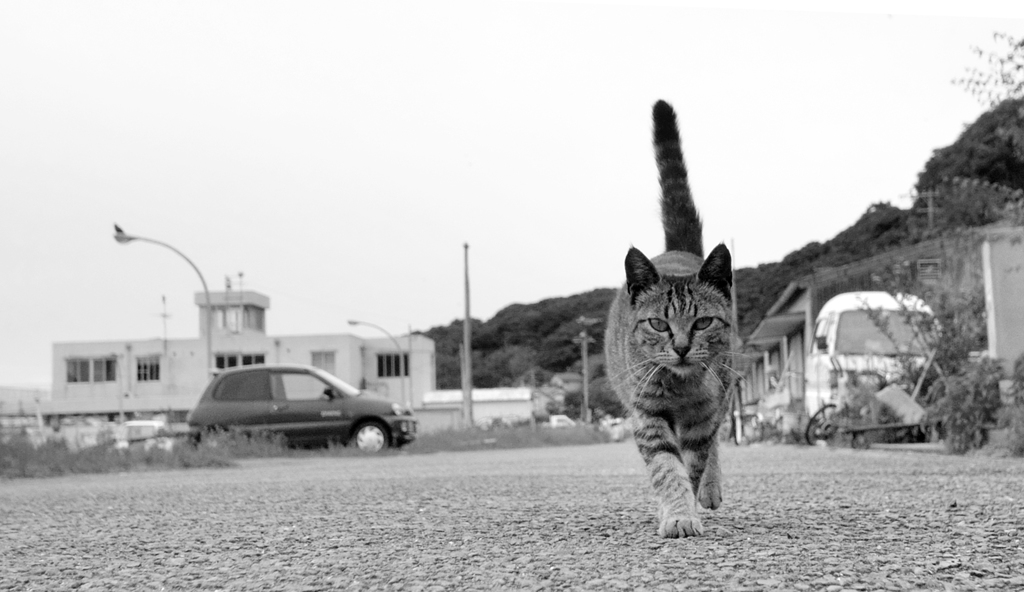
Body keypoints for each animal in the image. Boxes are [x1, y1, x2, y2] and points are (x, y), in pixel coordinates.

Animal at [602, 97, 733, 532]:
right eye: (658, 324)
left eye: (702, 322)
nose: (680, 347)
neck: (680, 388)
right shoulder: (648, 417)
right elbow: (665, 469)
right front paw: (675, 513)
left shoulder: (702, 418)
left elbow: (692, 464)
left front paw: (687, 507)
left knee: (715, 445)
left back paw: (709, 491)